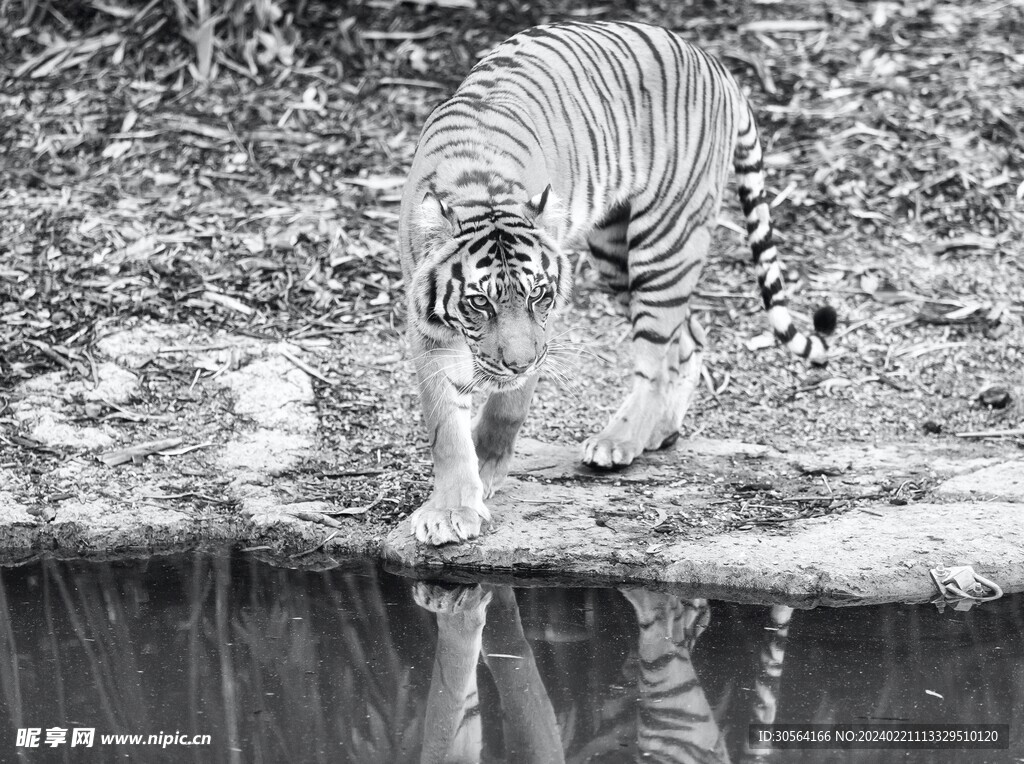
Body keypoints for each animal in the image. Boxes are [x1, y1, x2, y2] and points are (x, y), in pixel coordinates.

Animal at [398, 20, 836, 545]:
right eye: (479, 303)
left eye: (538, 294)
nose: (520, 362)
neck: (479, 189)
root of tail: (715, 63)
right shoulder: (427, 330)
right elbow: (444, 426)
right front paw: (451, 508)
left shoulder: (543, 327)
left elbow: (508, 405)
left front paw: (485, 470)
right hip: (614, 251)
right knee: (689, 336)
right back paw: (659, 430)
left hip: (665, 241)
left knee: (655, 355)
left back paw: (620, 439)